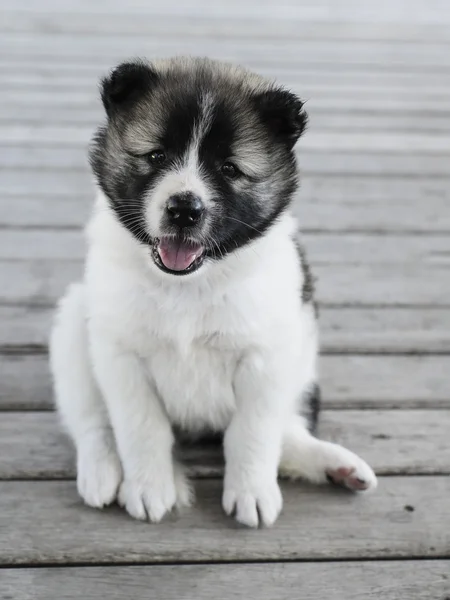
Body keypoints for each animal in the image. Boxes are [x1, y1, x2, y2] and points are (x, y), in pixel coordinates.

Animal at [49, 55, 376, 524]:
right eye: (157, 155)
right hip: (74, 327)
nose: (184, 209)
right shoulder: (121, 355)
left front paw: (251, 491)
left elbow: (253, 432)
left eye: (229, 169)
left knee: (288, 429)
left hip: (303, 361)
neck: (187, 284)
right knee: (91, 420)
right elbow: (140, 427)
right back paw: (101, 471)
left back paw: (336, 465)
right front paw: (149, 486)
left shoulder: (266, 357)